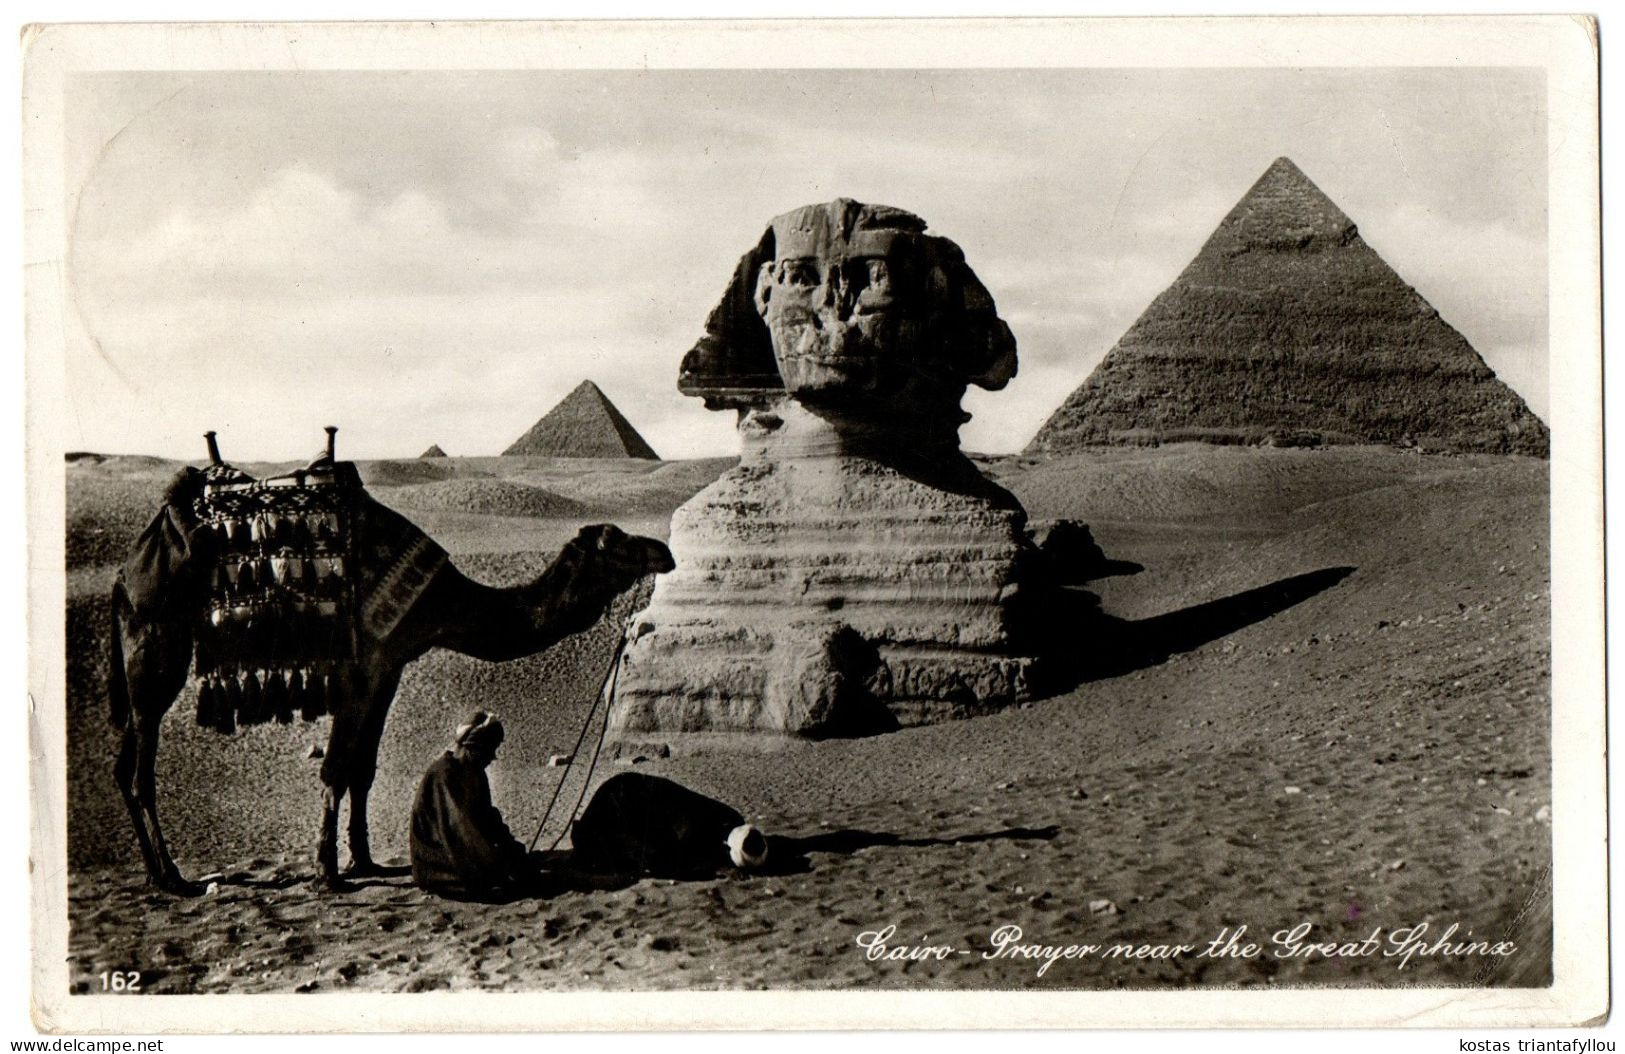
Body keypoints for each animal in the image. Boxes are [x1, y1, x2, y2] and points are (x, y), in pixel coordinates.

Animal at [109, 448, 672, 889]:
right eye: (616, 542)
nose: (663, 551)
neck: (440, 605)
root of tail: (126, 572)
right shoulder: (363, 667)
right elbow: (336, 769)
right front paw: (328, 873)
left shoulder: (390, 668)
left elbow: (364, 767)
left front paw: (364, 862)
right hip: (155, 645)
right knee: (140, 770)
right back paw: (174, 877)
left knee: (123, 764)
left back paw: (156, 874)